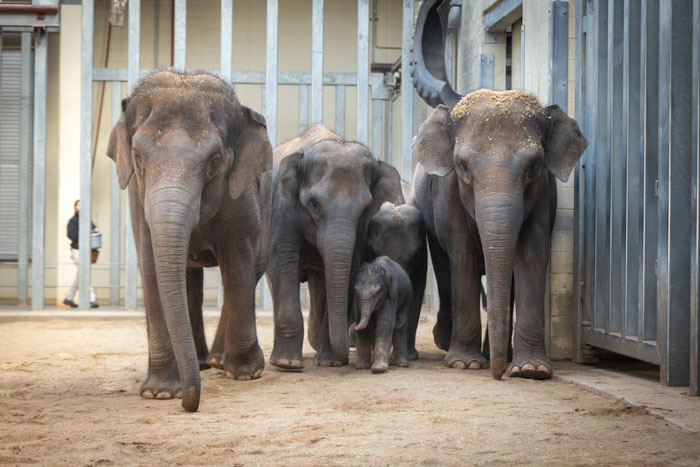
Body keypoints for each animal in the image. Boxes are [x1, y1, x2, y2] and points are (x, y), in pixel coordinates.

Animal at [105, 70, 272, 414]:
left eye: (215, 160)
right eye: (137, 156)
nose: (189, 404)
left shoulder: (242, 199)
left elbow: (238, 263)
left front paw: (246, 373)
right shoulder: (138, 202)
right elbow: (151, 267)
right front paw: (159, 393)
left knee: (245, 274)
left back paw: (218, 363)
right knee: (190, 283)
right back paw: (202, 363)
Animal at [270, 126, 404, 372]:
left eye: (364, 209)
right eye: (314, 205)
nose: (355, 330)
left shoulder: (360, 231)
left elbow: (350, 268)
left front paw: (330, 362)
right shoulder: (283, 211)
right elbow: (284, 265)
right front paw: (287, 364)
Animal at [412, 0, 588, 380]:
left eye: (533, 166)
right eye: (463, 167)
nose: (497, 375)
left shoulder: (543, 195)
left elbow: (531, 256)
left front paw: (531, 370)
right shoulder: (448, 196)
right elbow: (462, 257)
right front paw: (464, 364)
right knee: (446, 265)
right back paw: (450, 344)